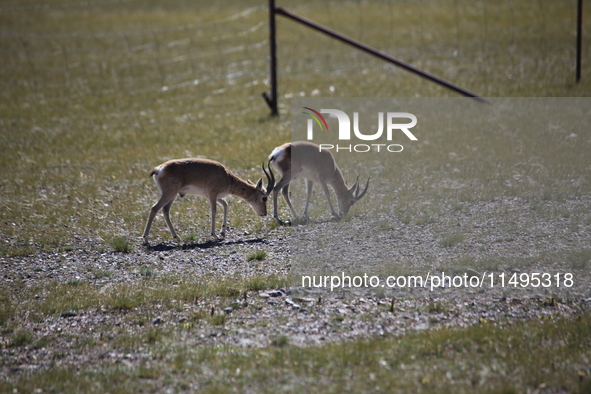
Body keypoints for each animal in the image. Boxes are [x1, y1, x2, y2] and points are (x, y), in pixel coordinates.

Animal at [143, 159, 276, 245]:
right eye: (264, 198)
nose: (264, 213)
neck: (227, 176)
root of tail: (159, 169)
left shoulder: (217, 197)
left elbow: (226, 205)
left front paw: (223, 233)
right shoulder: (212, 195)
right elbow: (214, 211)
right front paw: (214, 235)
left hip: (172, 195)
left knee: (165, 211)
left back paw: (177, 237)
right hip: (169, 194)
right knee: (154, 208)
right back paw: (145, 240)